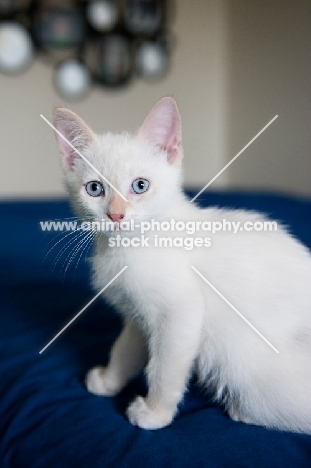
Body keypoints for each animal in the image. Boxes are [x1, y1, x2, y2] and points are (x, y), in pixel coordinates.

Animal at [54, 98, 311, 432]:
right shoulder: (137, 315)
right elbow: (126, 348)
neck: (127, 249)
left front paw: (155, 413)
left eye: (140, 185)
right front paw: (110, 380)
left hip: (243, 361)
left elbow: (164, 367)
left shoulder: (180, 314)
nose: (116, 215)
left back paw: (240, 409)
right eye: (94, 189)